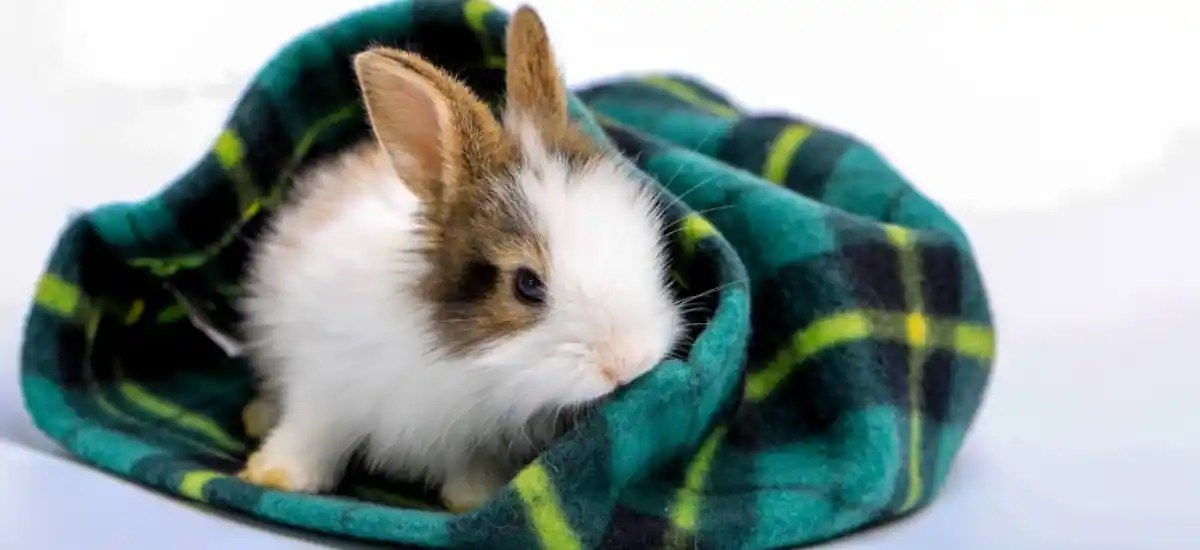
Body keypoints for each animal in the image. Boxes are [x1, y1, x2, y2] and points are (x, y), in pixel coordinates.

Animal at [235, 6, 684, 512]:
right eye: (527, 285)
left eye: (648, 240)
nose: (629, 362)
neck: (461, 368)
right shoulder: (324, 381)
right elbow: (311, 430)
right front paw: (276, 476)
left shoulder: (480, 440)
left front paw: (472, 499)